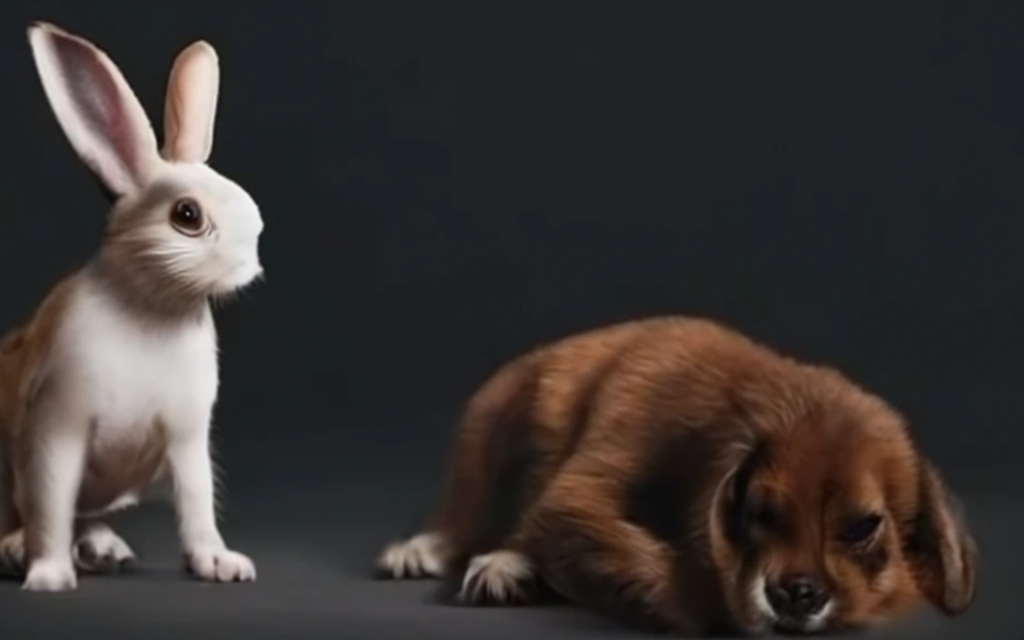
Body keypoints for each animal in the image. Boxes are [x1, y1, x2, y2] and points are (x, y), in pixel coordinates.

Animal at [1, 22, 264, 589]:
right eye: (186, 215)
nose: (250, 262)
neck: (150, 308)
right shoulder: (58, 422)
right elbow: (49, 501)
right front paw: (48, 576)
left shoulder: (187, 434)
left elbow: (198, 502)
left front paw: (220, 564)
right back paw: (17, 550)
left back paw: (104, 549)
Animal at [376, 315, 974, 634]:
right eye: (761, 511)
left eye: (861, 528)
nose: (796, 595)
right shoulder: (578, 494)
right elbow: (656, 567)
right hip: (492, 420)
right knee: (469, 515)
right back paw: (434, 550)